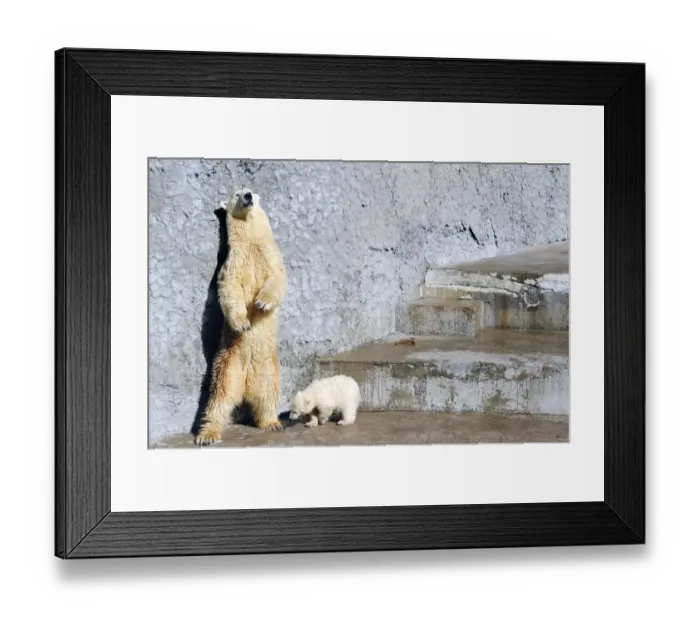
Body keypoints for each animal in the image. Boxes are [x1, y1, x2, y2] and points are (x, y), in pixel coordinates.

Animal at [194, 188, 287, 446]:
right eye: (237, 193)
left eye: (252, 191)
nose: (247, 196)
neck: (251, 242)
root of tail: (246, 385)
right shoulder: (232, 261)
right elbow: (230, 289)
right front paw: (243, 323)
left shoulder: (270, 255)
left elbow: (277, 278)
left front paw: (262, 302)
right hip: (228, 365)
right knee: (219, 399)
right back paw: (207, 434)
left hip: (267, 368)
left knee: (267, 395)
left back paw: (272, 422)